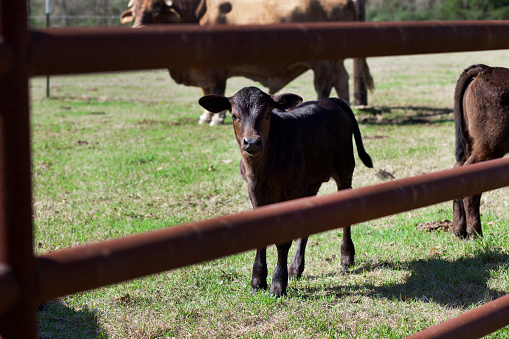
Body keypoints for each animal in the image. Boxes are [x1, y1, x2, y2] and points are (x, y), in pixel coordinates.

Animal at [119, 0, 374, 126]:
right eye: (135, 10)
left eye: (155, 9)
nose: (138, 28)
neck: (197, 13)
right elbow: (206, 91)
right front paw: (205, 116)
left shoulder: (215, 69)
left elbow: (216, 88)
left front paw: (216, 118)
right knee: (342, 79)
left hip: (323, 62)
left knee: (324, 84)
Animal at [196, 87, 372, 298]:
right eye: (234, 115)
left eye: (267, 114)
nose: (252, 142)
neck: (263, 171)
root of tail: (329, 100)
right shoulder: (255, 194)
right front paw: (258, 281)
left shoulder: (290, 191)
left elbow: (283, 240)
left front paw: (278, 284)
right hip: (310, 183)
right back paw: (296, 267)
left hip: (344, 169)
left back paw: (346, 256)